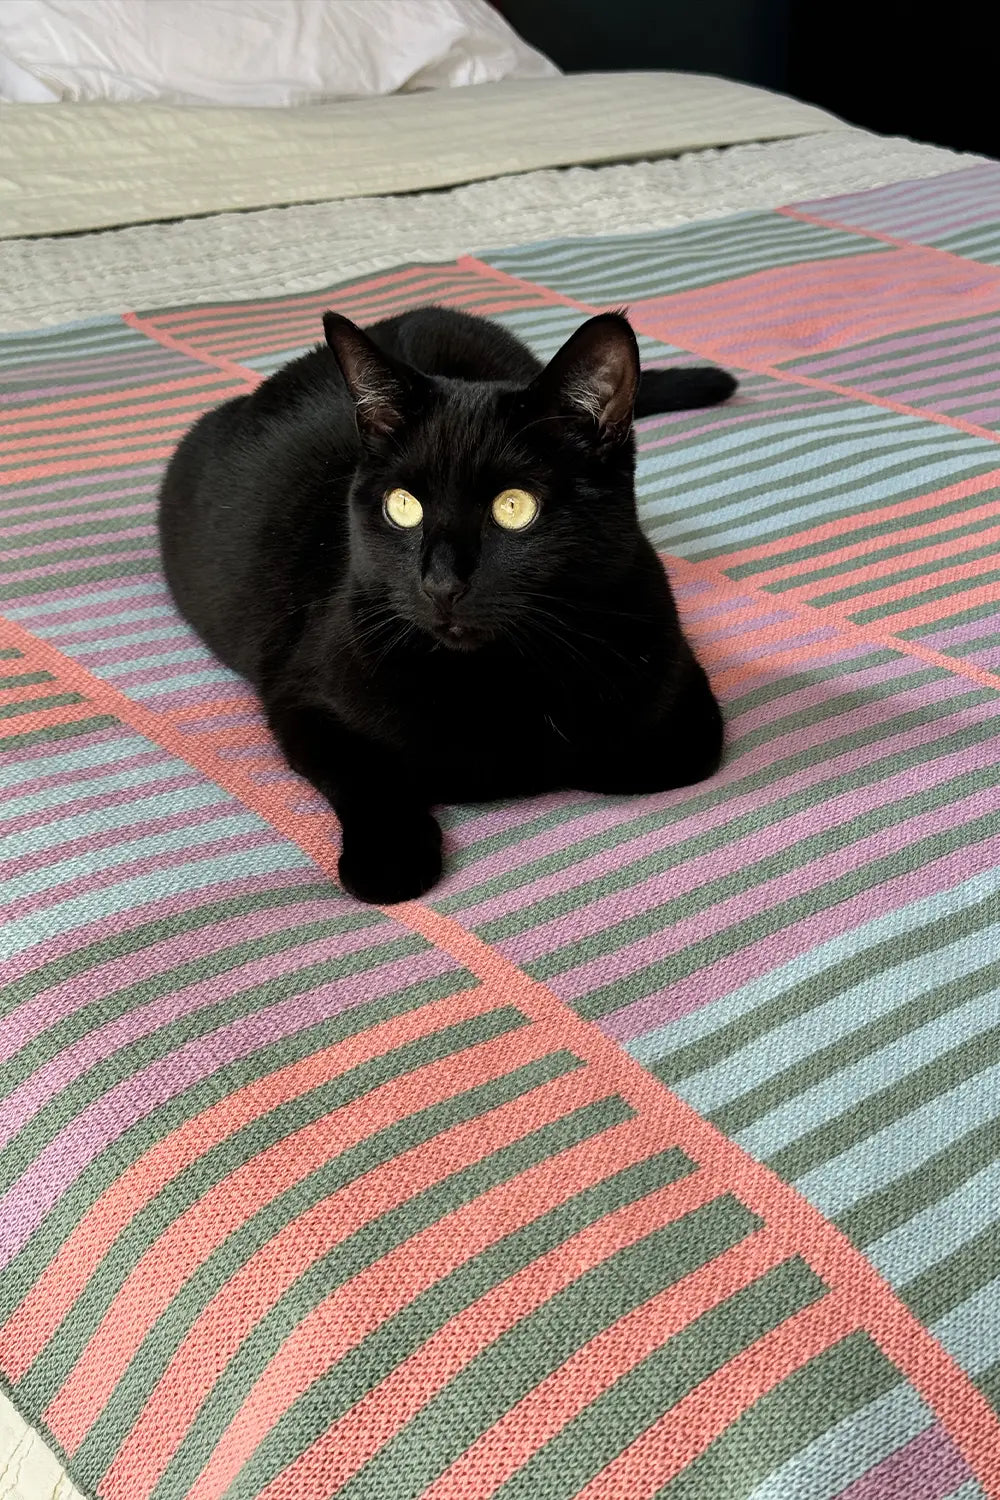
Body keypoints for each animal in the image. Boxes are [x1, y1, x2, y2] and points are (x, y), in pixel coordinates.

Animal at [156, 298, 734, 894]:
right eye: (403, 505)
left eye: (514, 507)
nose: (441, 583)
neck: (493, 678)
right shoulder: (301, 696)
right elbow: (366, 771)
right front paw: (391, 857)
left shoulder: (681, 705)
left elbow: (616, 758)